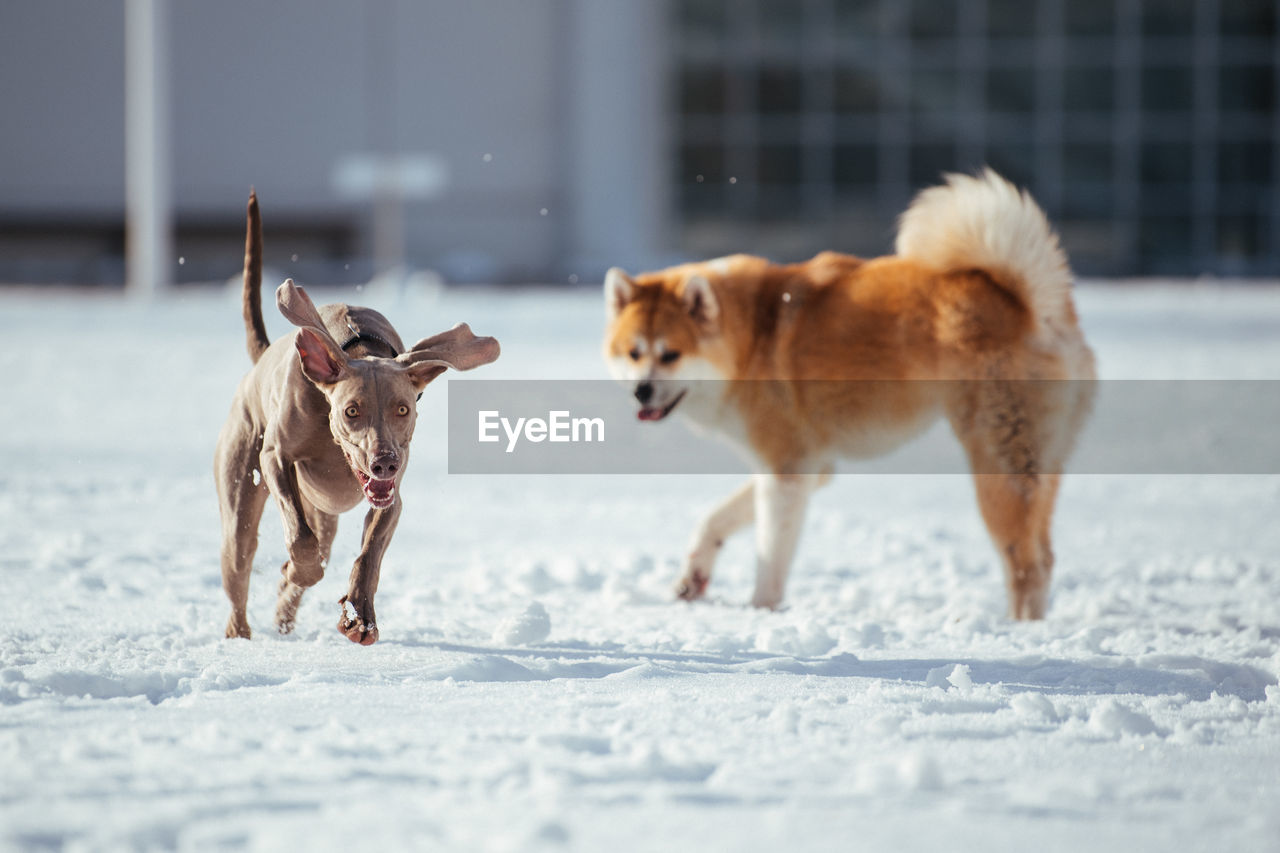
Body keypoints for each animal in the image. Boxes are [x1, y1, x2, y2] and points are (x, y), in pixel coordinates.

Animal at [215, 192, 499, 640]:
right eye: (351, 411)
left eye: (404, 409)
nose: (384, 461)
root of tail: (260, 360)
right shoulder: (275, 458)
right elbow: (299, 537)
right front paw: (301, 568)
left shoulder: (390, 497)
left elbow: (369, 554)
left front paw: (360, 615)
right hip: (240, 495)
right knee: (242, 563)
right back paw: (241, 634)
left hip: (326, 511)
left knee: (319, 547)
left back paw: (284, 616)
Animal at [604, 167, 1095, 617]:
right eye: (633, 353)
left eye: (671, 355)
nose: (641, 392)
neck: (750, 340)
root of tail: (1034, 302)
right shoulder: (806, 466)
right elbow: (714, 519)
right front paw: (694, 577)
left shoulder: (787, 469)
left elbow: (770, 557)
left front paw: (761, 612)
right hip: (1045, 460)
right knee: (1046, 556)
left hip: (998, 463)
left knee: (1027, 564)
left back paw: (1017, 633)